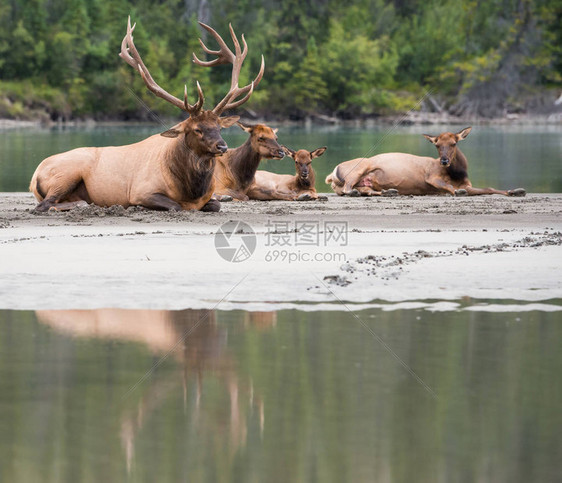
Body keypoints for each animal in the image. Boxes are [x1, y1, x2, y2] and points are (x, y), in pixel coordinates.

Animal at [30, 18, 264, 213]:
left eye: (219, 127)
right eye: (197, 129)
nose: (222, 146)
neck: (191, 190)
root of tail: (34, 176)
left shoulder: (209, 197)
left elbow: (216, 205)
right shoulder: (142, 191)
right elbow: (176, 206)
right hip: (66, 173)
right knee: (44, 205)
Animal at [326, 129, 524, 199]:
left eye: (454, 143)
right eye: (437, 145)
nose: (444, 160)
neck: (458, 173)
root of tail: (332, 174)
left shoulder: (468, 183)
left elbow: (488, 188)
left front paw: (515, 190)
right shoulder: (432, 177)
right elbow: (450, 187)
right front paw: (457, 191)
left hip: (365, 180)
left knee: (365, 189)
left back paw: (389, 191)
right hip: (360, 168)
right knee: (348, 188)